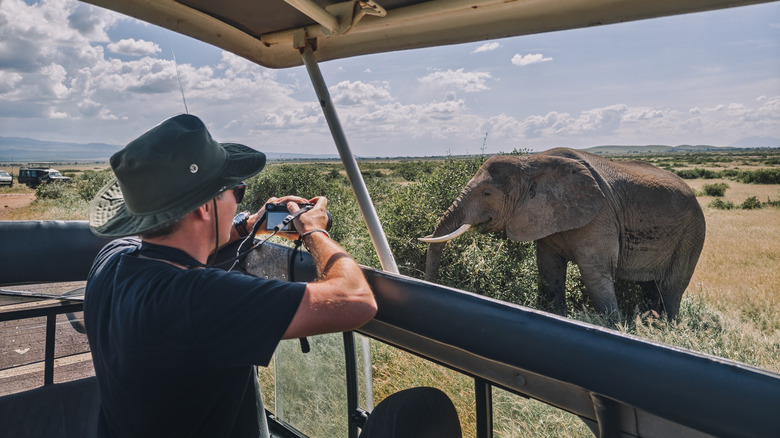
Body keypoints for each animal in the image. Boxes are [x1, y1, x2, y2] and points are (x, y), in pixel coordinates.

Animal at [419, 148, 705, 318]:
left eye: (487, 193)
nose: (432, 284)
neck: (532, 162)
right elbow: (549, 270)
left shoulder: (600, 215)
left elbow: (595, 274)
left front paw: (612, 325)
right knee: (650, 287)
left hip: (692, 233)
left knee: (671, 287)